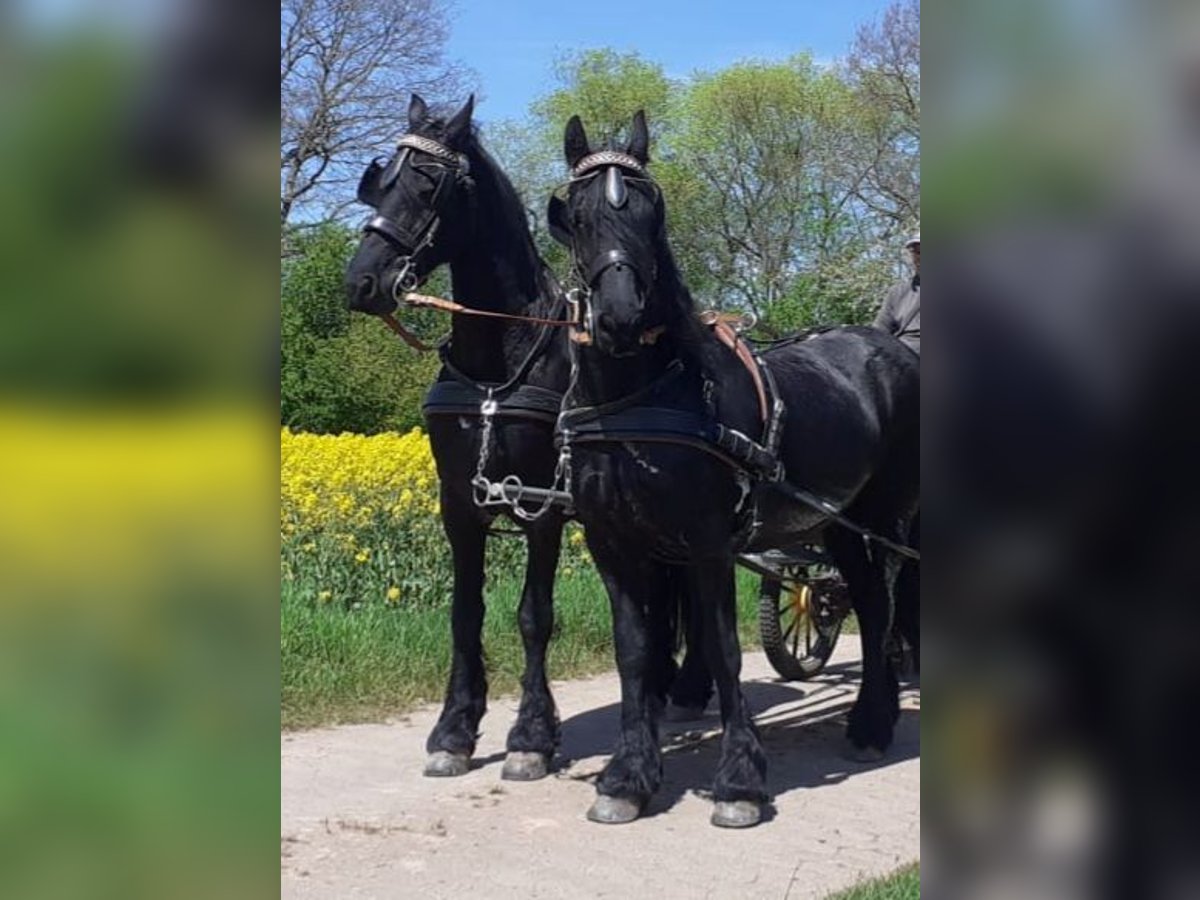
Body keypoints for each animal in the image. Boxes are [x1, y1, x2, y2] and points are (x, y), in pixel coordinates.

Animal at [343, 93, 576, 782]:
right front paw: (454, 729)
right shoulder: (458, 503)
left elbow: (534, 616)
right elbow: (464, 612)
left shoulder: (543, 504)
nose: (361, 282)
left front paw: (531, 737)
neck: (500, 358)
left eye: (428, 184)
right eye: (378, 181)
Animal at [549, 114, 921, 830]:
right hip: (837, 523)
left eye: (652, 208)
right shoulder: (615, 544)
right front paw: (628, 777)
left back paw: (874, 720)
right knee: (866, 596)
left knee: (882, 604)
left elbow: (722, 647)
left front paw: (740, 780)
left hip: (883, 516)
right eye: (575, 216)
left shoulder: (708, 544)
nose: (620, 317)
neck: (641, 398)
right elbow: (634, 651)